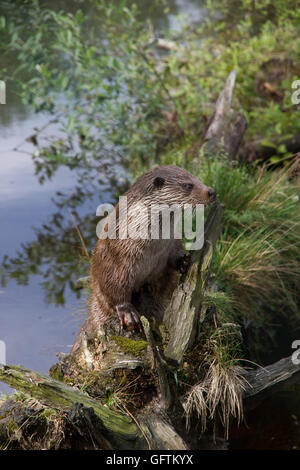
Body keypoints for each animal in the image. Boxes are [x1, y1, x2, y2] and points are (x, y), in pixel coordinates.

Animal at [71, 165, 214, 352]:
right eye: (188, 185)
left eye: (198, 178)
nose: (211, 191)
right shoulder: (114, 258)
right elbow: (113, 288)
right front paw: (129, 314)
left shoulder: (173, 243)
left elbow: (173, 260)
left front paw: (184, 261)